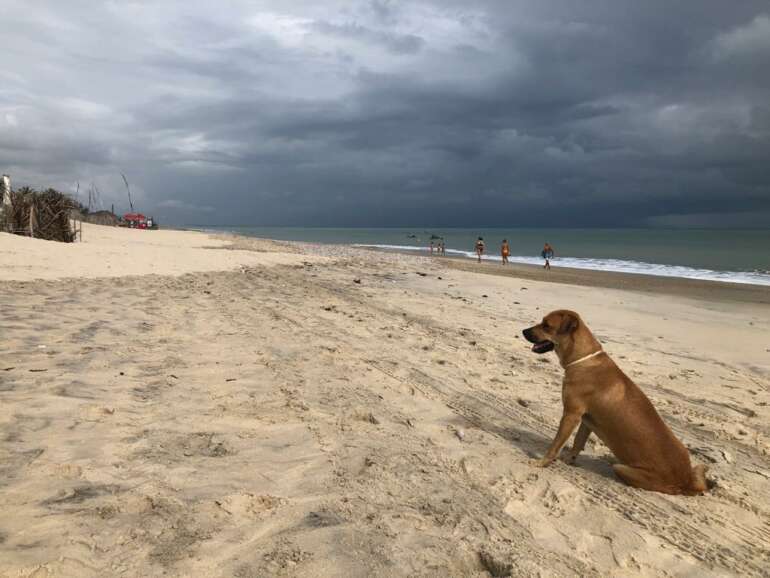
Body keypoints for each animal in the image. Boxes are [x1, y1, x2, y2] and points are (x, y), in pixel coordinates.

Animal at [520, 308, 704, 492]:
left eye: (546, 325)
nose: (523, 331)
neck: (582, 360)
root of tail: (686, 482)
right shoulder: (586, 420)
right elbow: (577, 443)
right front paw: (568, 461)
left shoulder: (571, 415)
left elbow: (555, 445)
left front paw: (542, 462)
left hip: (624, 469)